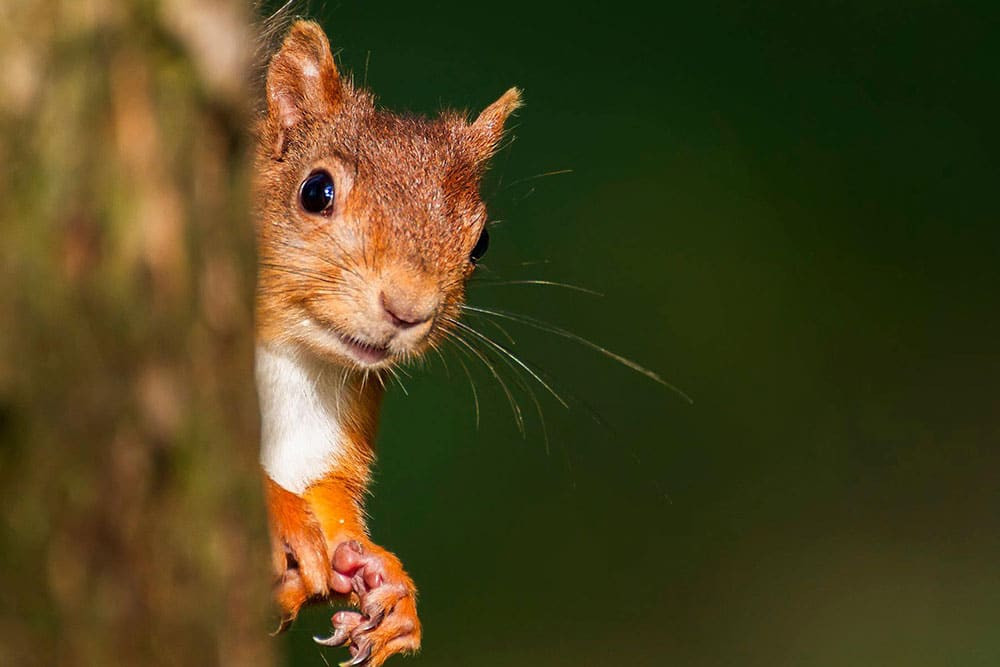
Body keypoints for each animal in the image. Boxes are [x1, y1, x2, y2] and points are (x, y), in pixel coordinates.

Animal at [253, 19, 521, 667]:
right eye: (315, 191)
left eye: (481, 241)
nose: (409, 307)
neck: (297, 361)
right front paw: (285, 516)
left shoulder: (330, 437)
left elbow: (333, 505)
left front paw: (389, 585)